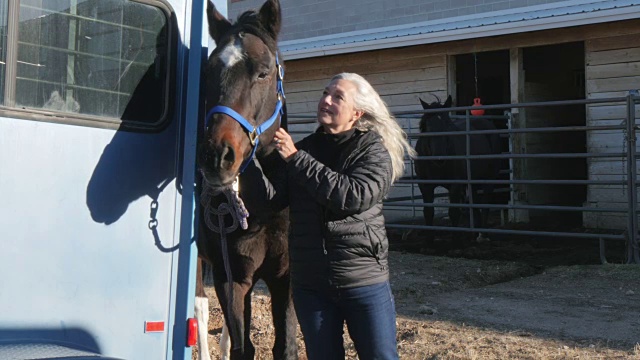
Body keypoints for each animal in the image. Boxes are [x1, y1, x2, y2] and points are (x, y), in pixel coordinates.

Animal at [195, 1, 298, 358]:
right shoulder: (231, 278)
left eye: (264, 72)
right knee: (199, 308)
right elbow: (244, 347)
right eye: (207, 72)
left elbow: (284, 346)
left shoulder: (284, 276)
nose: (216, 156)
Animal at [412, 95, 502, 248]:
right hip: (473, 180)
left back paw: (483, 235)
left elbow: (454, 212)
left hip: (488, 177)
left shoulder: (455, 185)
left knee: (485, 203)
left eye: (448, 125)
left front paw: (455, 241)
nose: (440, 157)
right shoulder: (425, 185)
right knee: (475, 202)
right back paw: (475, 233)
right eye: (427, 127)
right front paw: (429, 241)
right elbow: (428, 211)